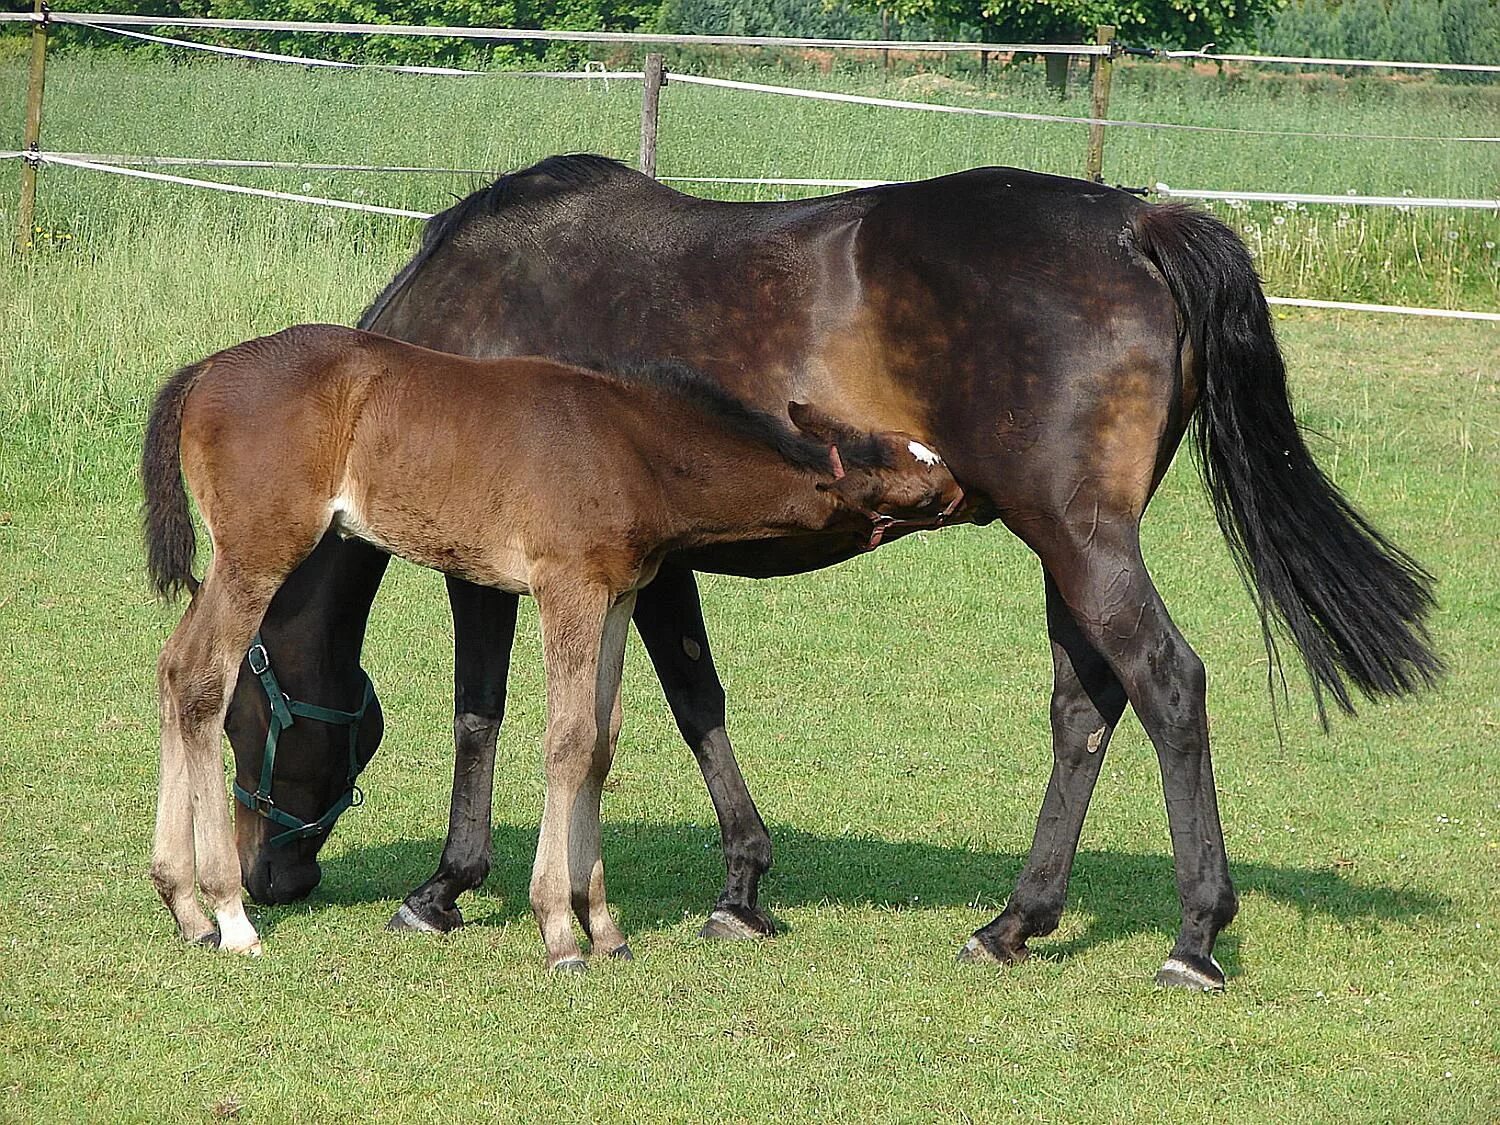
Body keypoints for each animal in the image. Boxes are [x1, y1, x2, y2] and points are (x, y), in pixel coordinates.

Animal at [141, 325, 960, 972]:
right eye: (916, 482)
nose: (963, 489)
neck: (634, 446)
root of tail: (204, 371)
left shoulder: (617, 596)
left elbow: (601, 742)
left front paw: (605, 926)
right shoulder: (567, 587)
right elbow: (566, 741)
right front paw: (560, 930)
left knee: (174, 667)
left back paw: (185, 908)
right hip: (258, 552)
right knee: (204, 678)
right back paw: (230, 915)